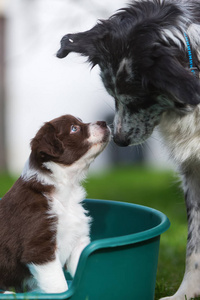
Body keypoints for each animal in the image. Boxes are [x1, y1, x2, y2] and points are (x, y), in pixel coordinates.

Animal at [0, 113, 110, 292]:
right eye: (74, 128)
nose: (104, 122)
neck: (66, 190)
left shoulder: (77, 241)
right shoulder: (39, 248)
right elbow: (59, 286)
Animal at [56, 0, 200, 300]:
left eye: (140, 98)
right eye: (112, 94)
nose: (119, 141)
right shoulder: (193, 170)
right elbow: (194, 242)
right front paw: (186, 293)